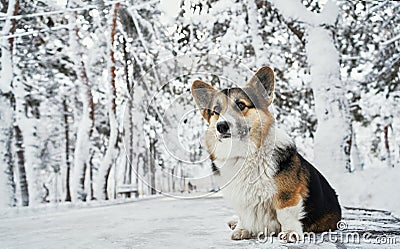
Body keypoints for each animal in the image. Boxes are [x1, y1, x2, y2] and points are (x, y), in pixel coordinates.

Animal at [191, 66, 340, 241]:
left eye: (240, 105)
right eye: (216, 111)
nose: (221, 126)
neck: (244, 155)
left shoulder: (287, 195)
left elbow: (285, 213)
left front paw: (290, 232)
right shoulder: (240, 199)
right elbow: (243, 215)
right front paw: (242, 229)